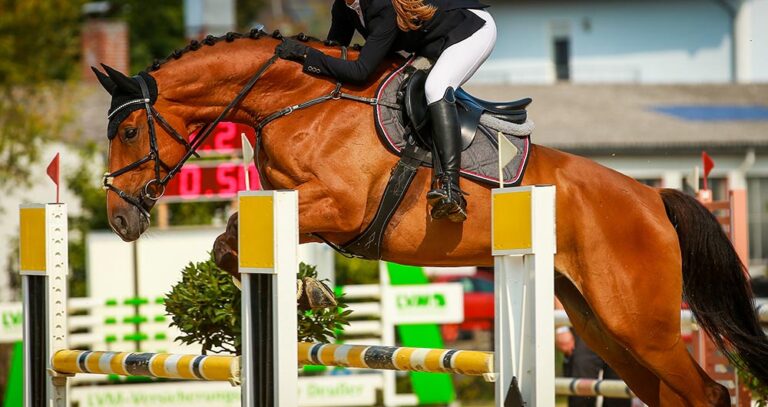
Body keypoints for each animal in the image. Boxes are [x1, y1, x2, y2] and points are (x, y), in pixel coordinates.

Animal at [93, 31, 767, 406]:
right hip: (602, 325)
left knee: (707, 392)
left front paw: (311, 294)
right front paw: (307, 295)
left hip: (641, 323)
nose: (121, 220)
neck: (296, 99)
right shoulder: (293, 204)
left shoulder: (337, 206)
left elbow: (233, 238)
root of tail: (654, 199)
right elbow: (229, 245)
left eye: (127, 132)